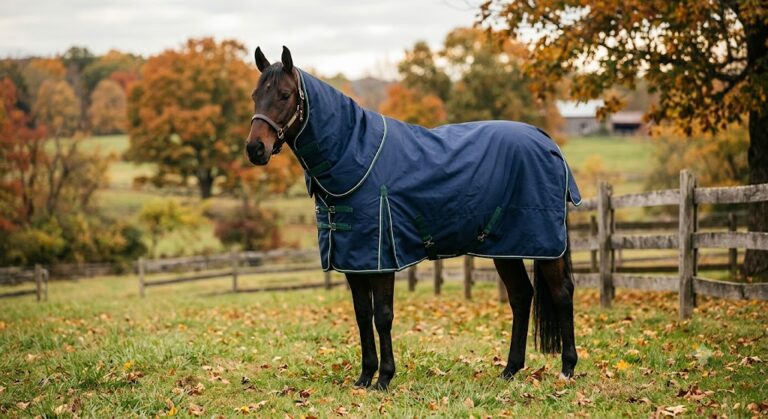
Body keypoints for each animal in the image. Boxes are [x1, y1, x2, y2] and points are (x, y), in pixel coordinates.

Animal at [245, 46, 580, 390]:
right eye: (255, 95)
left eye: (284, 95)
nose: (255, 148)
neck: (355, 155)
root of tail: (546, 141)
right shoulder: (353, 259)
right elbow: (362, 314)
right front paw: (364, 376)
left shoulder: (381, 259)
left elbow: (382, 315)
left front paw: (384, 378)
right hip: (506, 247)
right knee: (521, 296)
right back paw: (510, 369)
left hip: (543, 244)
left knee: (562, 292)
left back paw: (567, 368)